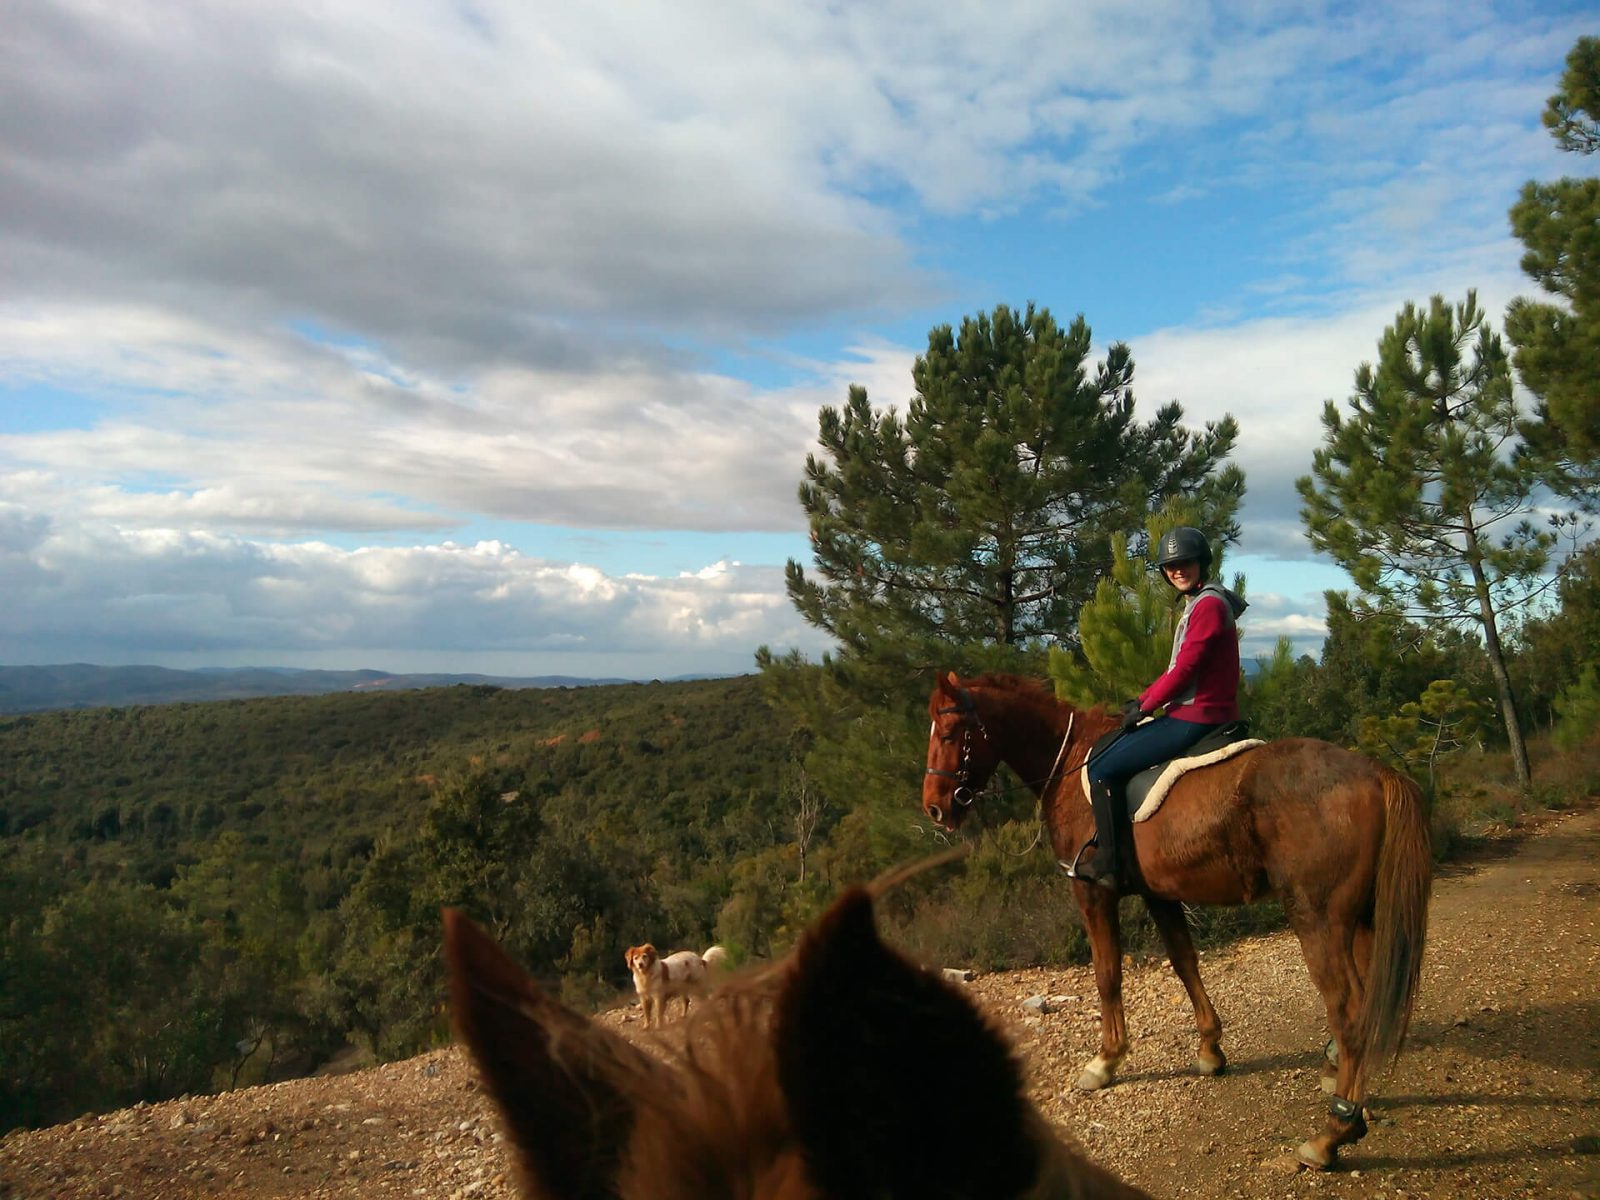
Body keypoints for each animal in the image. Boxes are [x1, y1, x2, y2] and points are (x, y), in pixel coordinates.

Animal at [921, 678, 1433, 1177]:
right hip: (1363, 918)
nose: (935, 809)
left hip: (1318, 918)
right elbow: (1185, 962)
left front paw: (1106, 1060)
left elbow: (1107, 975)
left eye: (949, 734)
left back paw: (1333, 1133)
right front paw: (1209, 1049)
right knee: (1369, 998)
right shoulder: (1160, 894)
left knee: (1349, 1011)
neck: (1067, 760)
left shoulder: (1093, 894)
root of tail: (1373, 771)